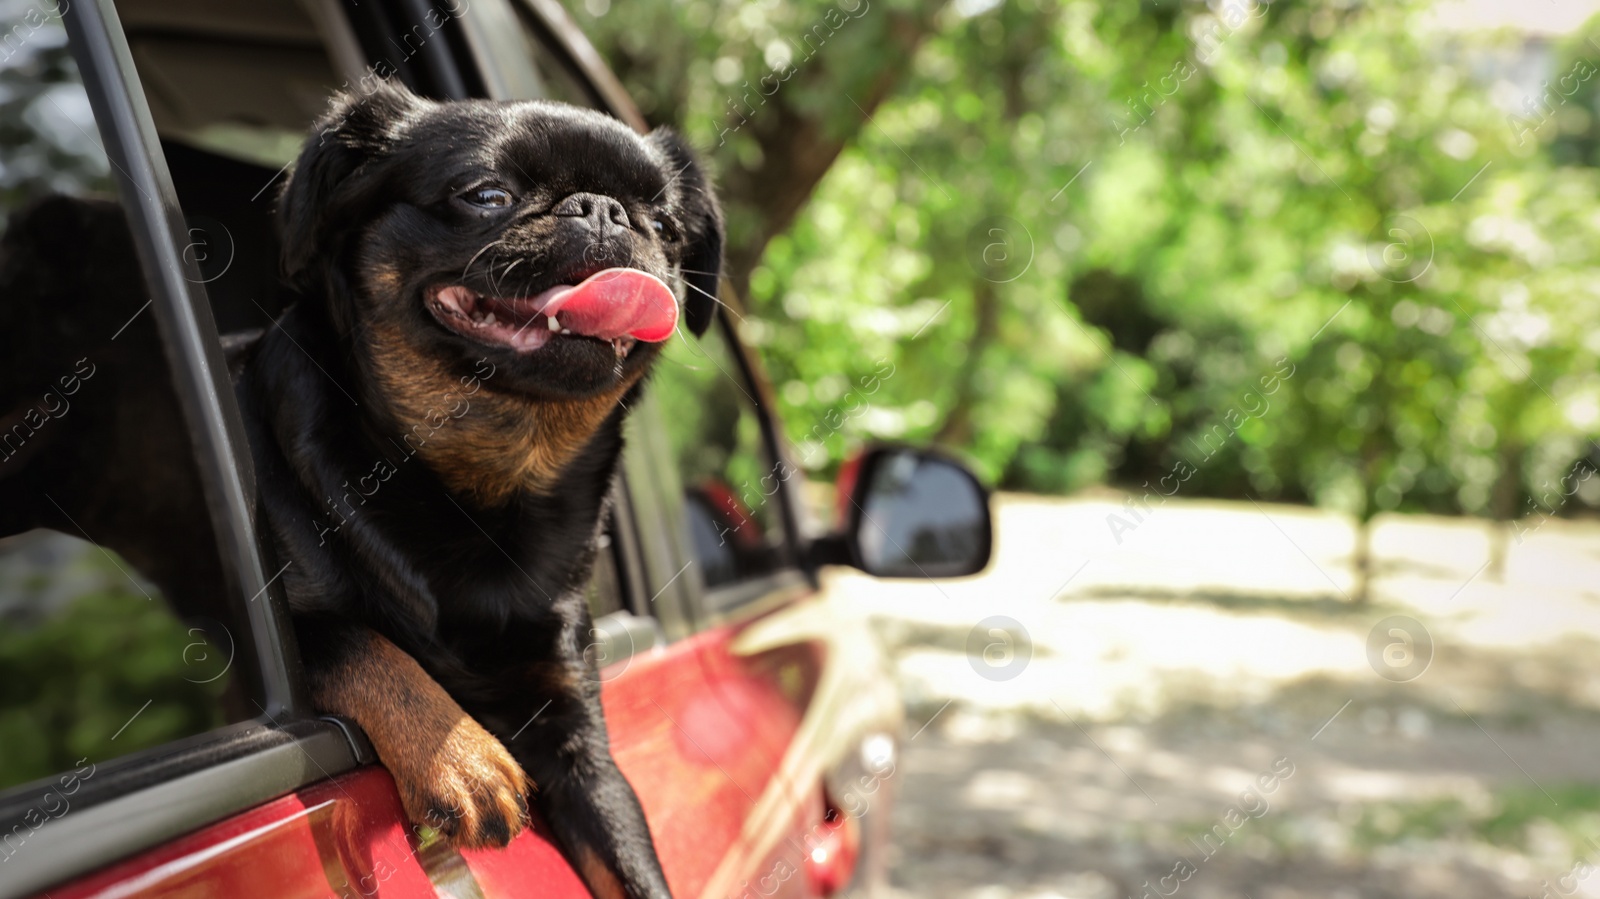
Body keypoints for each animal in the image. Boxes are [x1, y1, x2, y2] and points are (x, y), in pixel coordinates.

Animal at [233, 80, 726, 889]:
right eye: (487, 195)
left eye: (663, 225)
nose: (602, 209)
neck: (489, 483)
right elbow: (353, 641)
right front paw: (460, 754)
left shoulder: (581, 747)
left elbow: (630, 863)